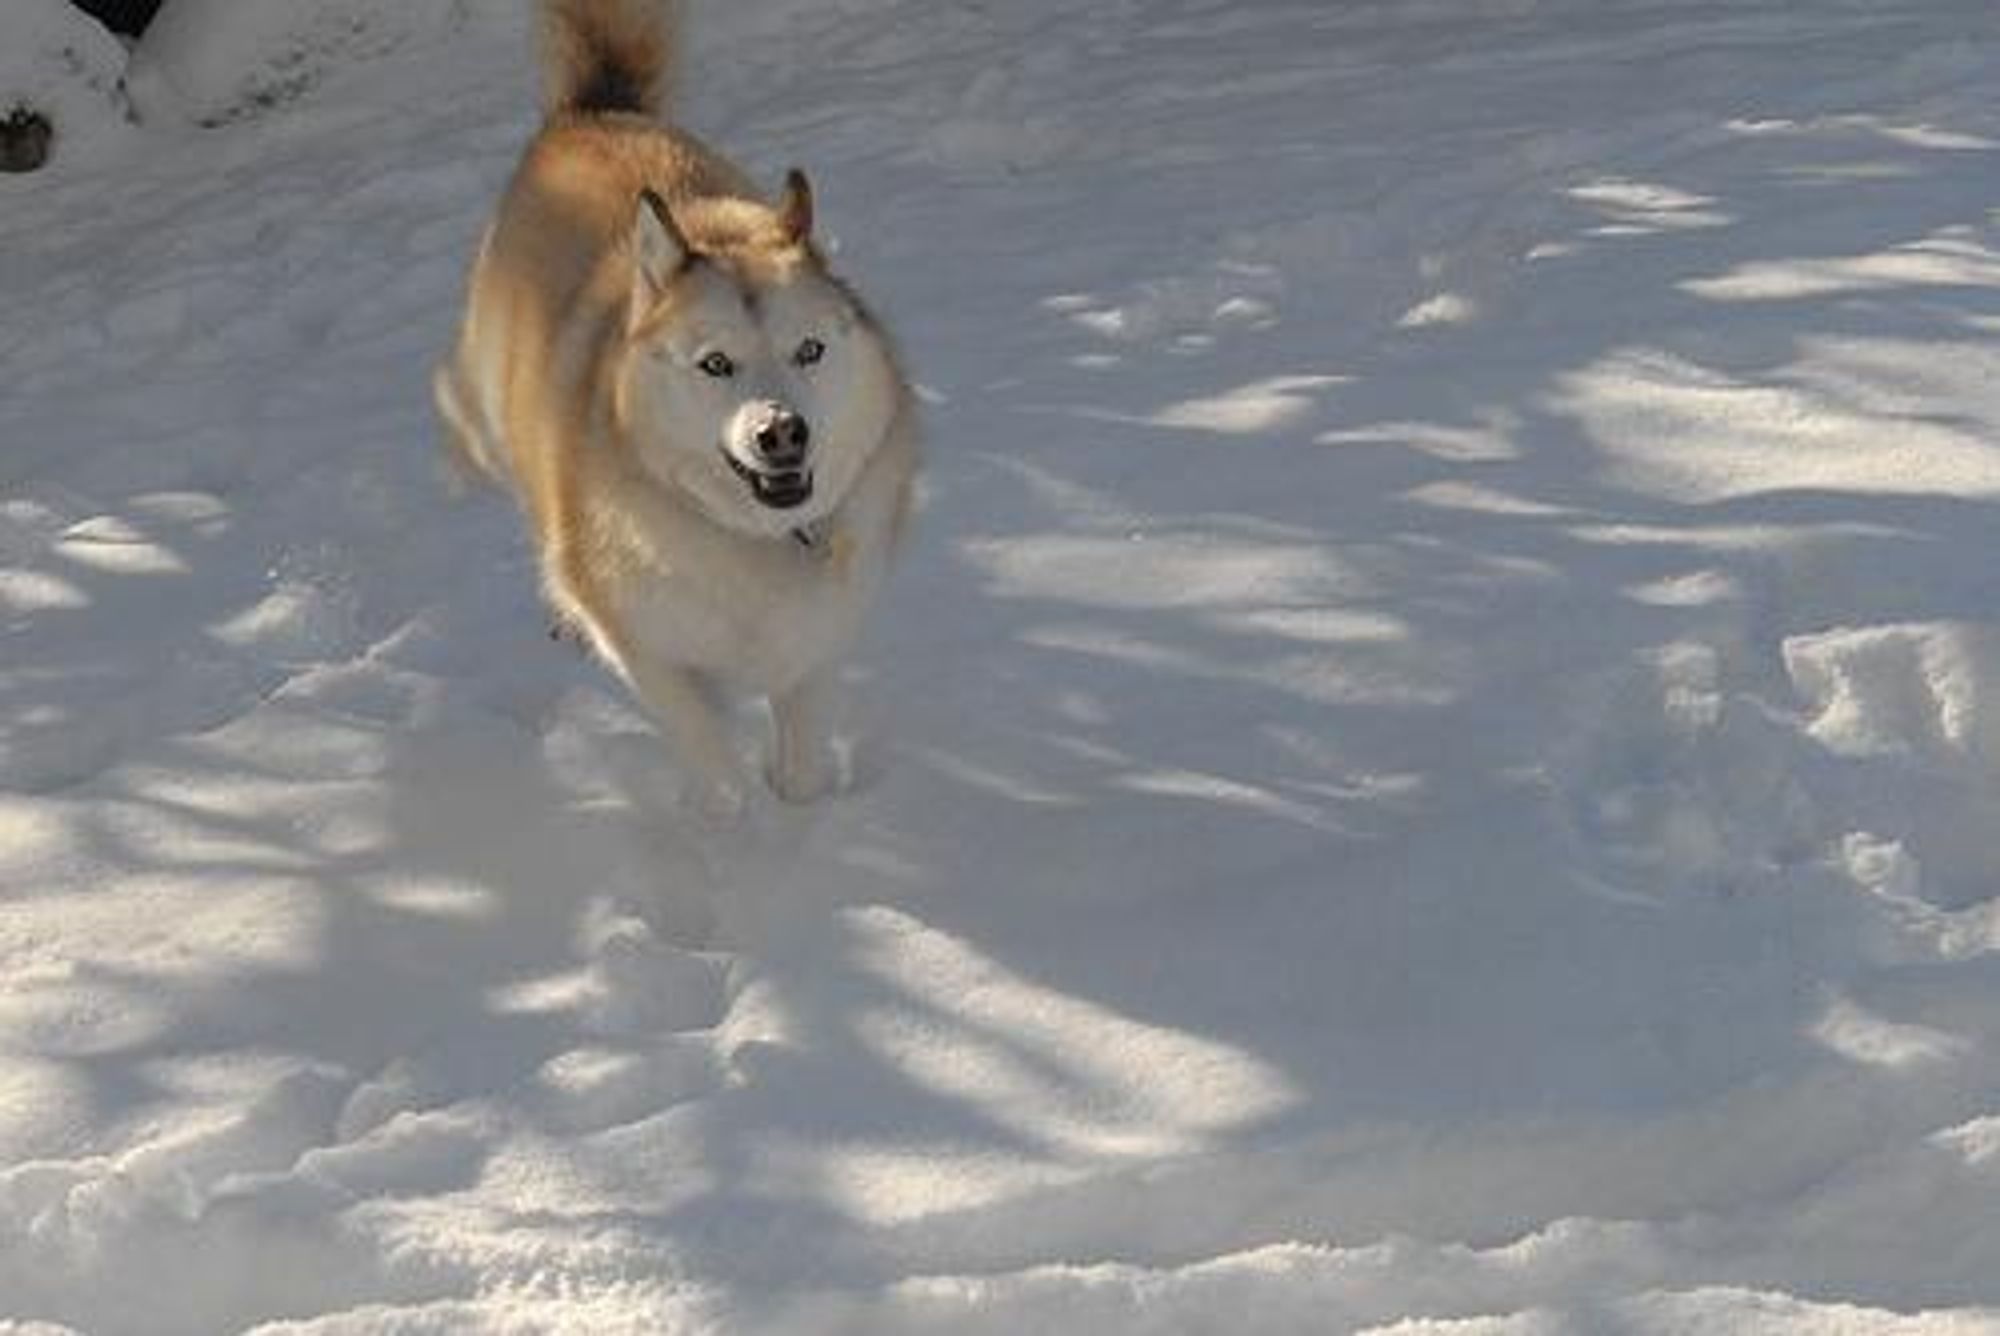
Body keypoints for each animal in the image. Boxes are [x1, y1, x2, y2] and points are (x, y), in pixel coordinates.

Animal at [438, 0, 920, 816]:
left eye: (810, 351)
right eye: (715, 365)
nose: (781, 434)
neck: (754, 539)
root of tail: (593, 112)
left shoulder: (816, 641)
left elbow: (801, 761)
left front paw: (801, 817)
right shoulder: (646, 653)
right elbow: (710, 753)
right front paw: (738, 831)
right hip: (491, 415)